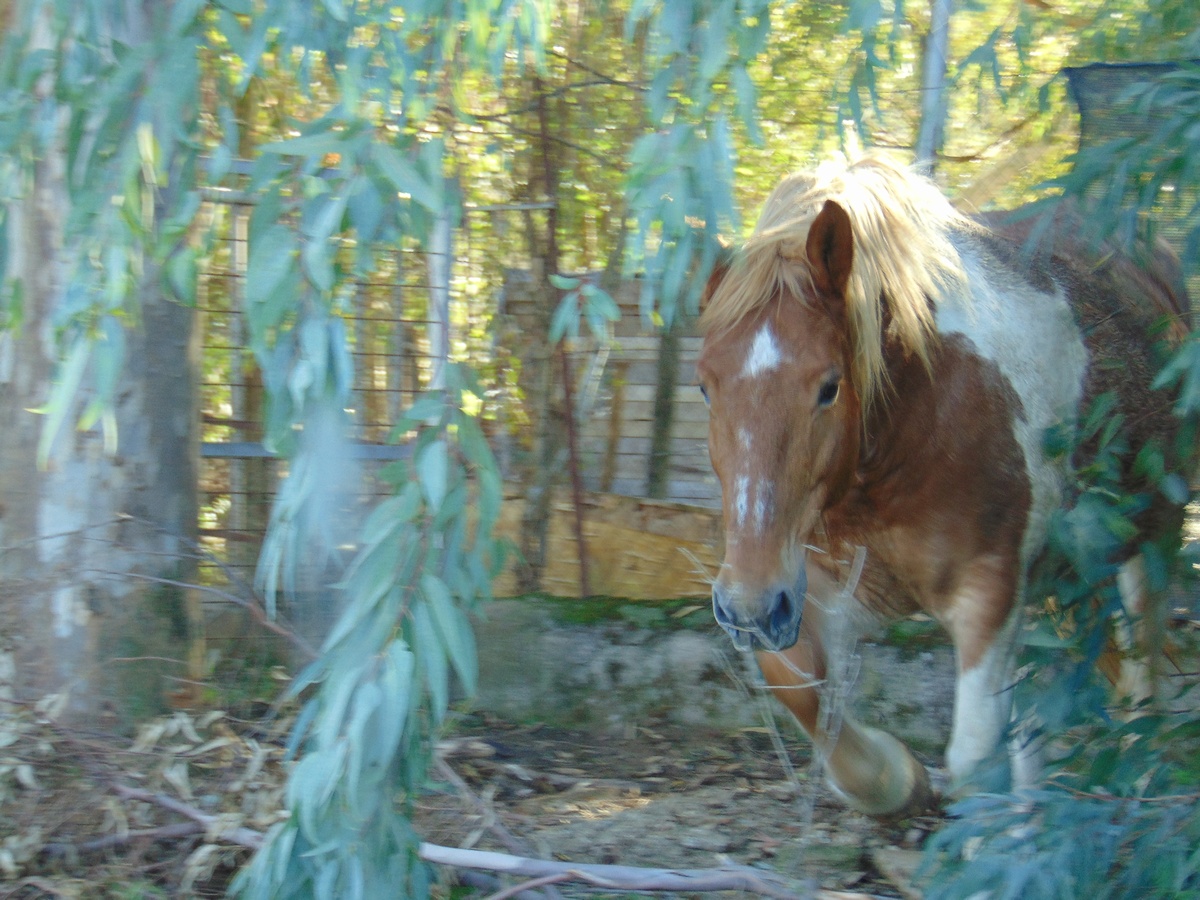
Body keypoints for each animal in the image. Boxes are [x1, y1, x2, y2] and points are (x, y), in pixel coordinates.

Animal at [700, 157, 1185, 825]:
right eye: (705, 387)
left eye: (828, 387)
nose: (747, 606)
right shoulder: (824, 591)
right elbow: (802, 693)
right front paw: (898, 780)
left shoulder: (987, 596)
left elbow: (977, 759)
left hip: (1154, 538)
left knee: (1144, 672)